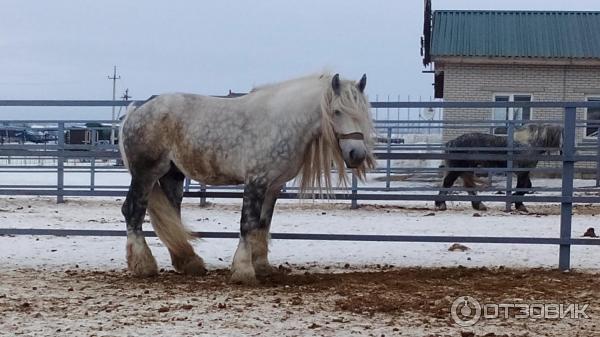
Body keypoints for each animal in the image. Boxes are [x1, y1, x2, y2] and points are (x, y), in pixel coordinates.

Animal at [436, 123, 564, 211]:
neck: (528, 143)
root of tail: (451, 143)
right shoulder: (522, 172)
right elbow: (522, 187)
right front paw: (518, 204)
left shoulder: (524, 172)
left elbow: (527, 186)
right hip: (457, 169)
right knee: (447, 183)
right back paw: (441, 204)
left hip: (467, 169)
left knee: (468, 186)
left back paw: (479, 205)